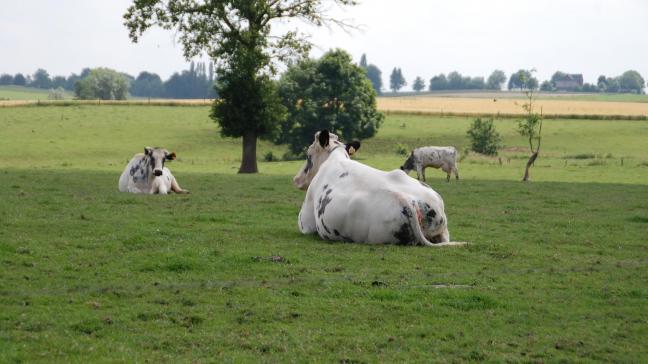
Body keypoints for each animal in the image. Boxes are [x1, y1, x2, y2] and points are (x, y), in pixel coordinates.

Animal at [292, 129, 464, 246]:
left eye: (308, 155)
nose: (296, 179)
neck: (336, 156)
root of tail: (410, 203)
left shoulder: (305, 222)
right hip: (442, 230)